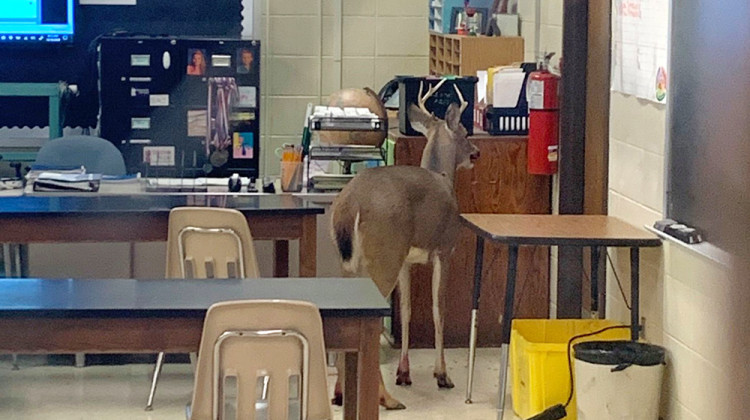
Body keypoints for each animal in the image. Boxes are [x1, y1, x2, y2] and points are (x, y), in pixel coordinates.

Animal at [328, 79, 482, 410]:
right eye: (465, 133)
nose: (476, 153)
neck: (443, 177)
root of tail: (351, 204)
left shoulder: (407, 261)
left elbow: (407, 309)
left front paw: (404, 372)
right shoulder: (444, 249)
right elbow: (438, 308)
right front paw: (442, 375)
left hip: (352, 261)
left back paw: (341, 392)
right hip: (384, 251)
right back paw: (386, 399)